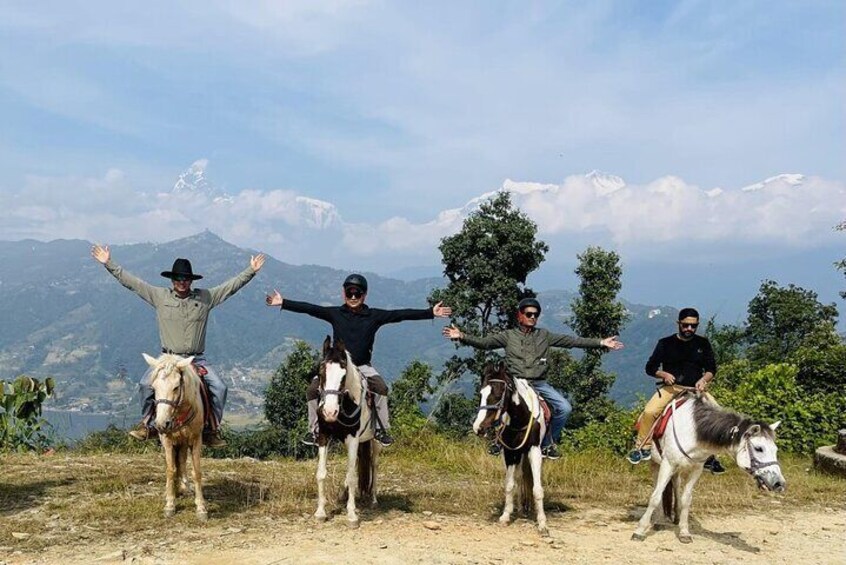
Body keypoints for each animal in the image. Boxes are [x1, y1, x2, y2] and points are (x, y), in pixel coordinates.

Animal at [142, 352, 209, 520]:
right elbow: (170, 470)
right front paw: (170, 504)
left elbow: (196, 471)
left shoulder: (196, 438)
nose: (161, 424)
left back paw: (183, 487)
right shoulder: (167, 440)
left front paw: (201, 507)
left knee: (182, 461)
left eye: (176, 387)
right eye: (154, 387)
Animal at [314, 334, 380, 524]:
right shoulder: (324, 435)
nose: (329, 412)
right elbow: (321, 473)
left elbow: (352, 477)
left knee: (374, 464)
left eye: (343, 376)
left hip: (375, 442)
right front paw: (320, 512)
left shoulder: (353, 438)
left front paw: (352, 515)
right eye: (321, 373)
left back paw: (373, 500)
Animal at [474, 364, 548, 536]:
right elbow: (509, 485)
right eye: (481, 394)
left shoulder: (535, 450)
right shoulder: (510, 453)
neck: (521, 418)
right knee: (520, 478)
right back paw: (521, 508)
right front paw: (505, 516)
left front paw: (542, 523)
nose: (478, 428)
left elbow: (537, 489)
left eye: (498, 394)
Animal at [632, 392, 784, 540]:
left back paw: (676, 515)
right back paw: (658, 519)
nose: (779, 483)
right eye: (759, 448)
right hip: (656, 462)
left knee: (675, 484)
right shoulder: (668, 464)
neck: (694, 432)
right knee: (657, 487)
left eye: (776, 450)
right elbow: (655, 497)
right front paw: (640, 530)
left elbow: (686, 499)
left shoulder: (696, 469)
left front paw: (684, 531)